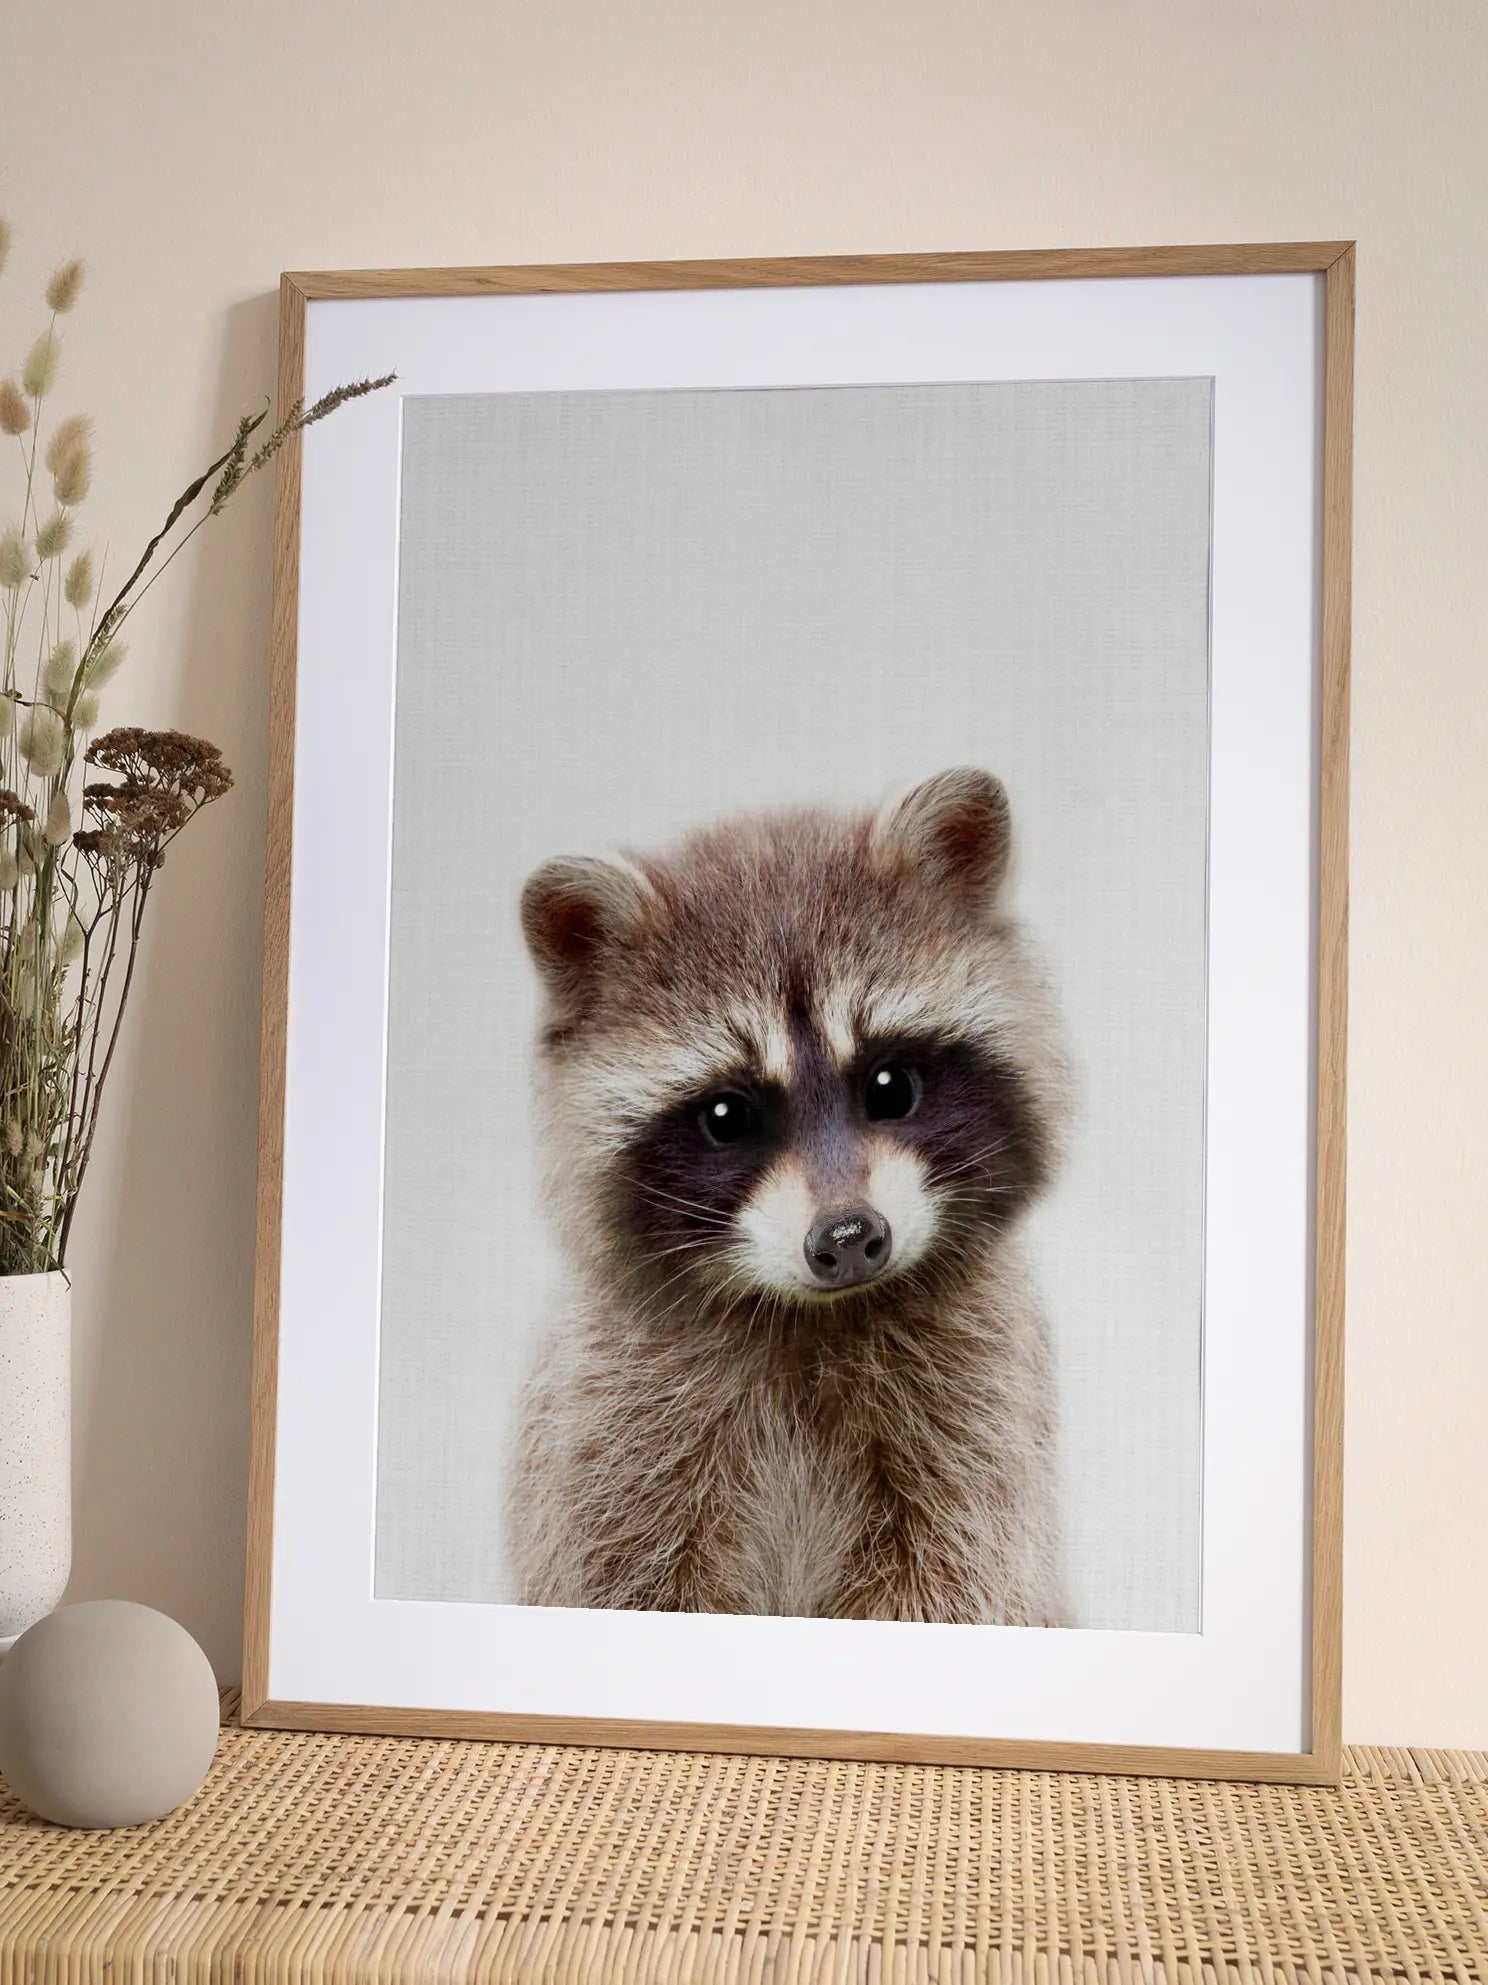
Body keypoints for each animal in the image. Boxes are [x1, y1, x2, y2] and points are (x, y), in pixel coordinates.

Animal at [509, 767, 1070, 1626]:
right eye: (727, 1116)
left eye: (890, 1085)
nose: (848, 1236)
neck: (810, 1316)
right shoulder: (608, 1432)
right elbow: (626, 1574)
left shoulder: (980, 1411)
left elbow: (955, 1575)